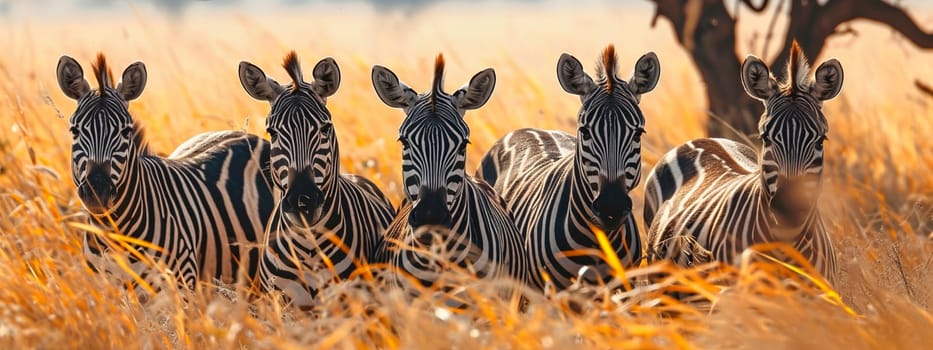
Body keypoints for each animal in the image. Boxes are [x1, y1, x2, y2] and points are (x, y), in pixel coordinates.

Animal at [56, 54, 274, 290]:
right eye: (75, 131)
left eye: (126, 131)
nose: (97, 191)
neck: (114, 232)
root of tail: (244, 135)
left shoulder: (180, 281)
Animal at [476, 45, 660, 290]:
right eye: (584, 131)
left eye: (638, 133)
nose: (611, 207)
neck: (598, 241)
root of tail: (528, 129)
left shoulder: (622, 287)